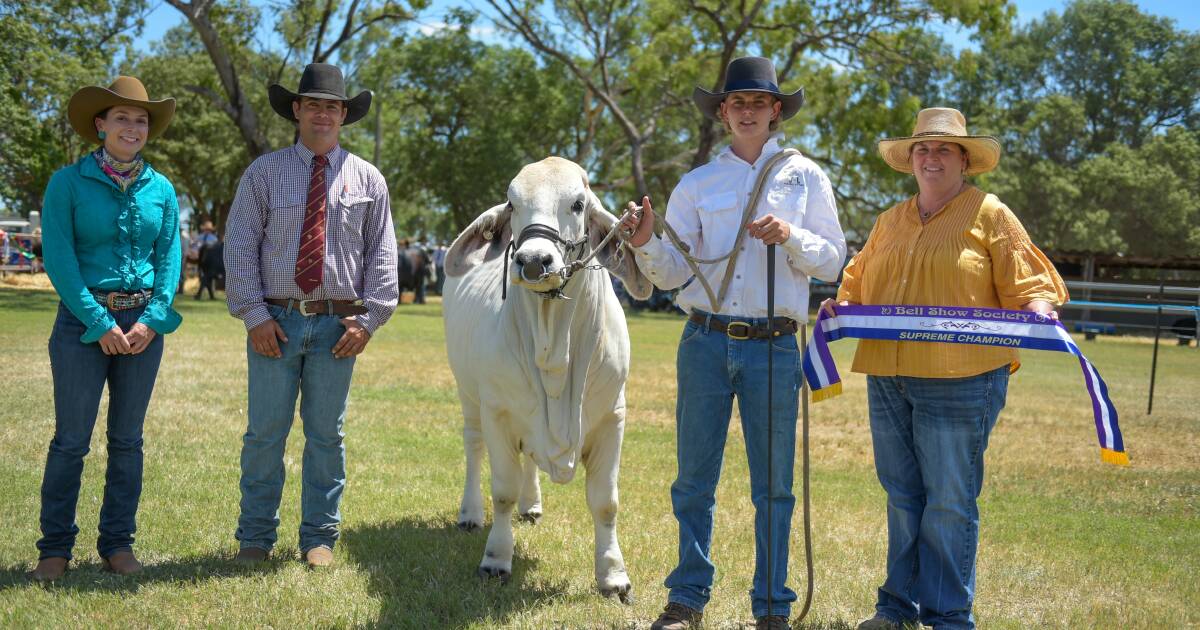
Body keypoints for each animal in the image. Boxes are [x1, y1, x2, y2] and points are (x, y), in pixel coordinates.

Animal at [444, 156, 652, 600]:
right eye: (512, 202)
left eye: (578, 203)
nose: (533, 260)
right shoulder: (497, 412)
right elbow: (503, 491)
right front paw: (496, 559)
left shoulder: (613, 417)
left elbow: (606, 502)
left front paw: (613, 575)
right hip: (468, 395)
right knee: (473, 447)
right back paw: (470, 512)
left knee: (529, 459)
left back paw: (532, 504)